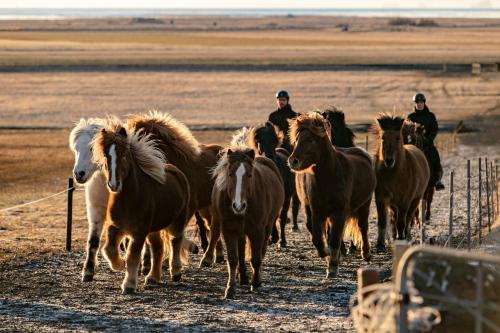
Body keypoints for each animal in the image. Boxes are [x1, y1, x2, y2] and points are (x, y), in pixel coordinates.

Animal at [92, 124, 191, 294]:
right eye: (106, 155)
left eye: (123, 154)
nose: (114, 184)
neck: (128, 201)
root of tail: (177, 172)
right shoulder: (115, 227)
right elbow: (109, 249)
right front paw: (119, 264)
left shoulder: (139, 232)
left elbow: (133, 255)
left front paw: (129, 285)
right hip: (154, 229)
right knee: (158, 248)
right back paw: (152, 278)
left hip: (176, 221)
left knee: (175, 241)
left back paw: (176, 272)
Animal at [126, 111, 224, 264]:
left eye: (140, 136)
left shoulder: (187, 207)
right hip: (205, 206)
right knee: (211, 226)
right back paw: (217, 255)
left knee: (214, 229)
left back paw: (207, 259)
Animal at [210, 137, 284, 298]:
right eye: (230, 174)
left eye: (249, 175)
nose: (238, 206)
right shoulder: (229, 230)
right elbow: (233, 259)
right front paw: (230, 288)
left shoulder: (257, 230)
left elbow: (256, 258)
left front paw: (255, 284)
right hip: (241, 231)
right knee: (242, 251)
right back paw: (242, 277)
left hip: (268, 226)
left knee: (261, 252)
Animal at [286, 111, 376, 278]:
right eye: (296, 140)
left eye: (310, 140)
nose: (293, 161)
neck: (331, 175)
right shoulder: (317, 211)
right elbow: (318, 237)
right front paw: (326, 254)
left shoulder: (340, 212)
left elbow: (334, 239)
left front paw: (333, 268)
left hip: (364, 205)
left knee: (363, 227)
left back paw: (366, 254)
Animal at [376, 114, 430, 249]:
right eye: (383, 138)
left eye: (397, 138)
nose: (389, 161)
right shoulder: (381, 199)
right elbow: (383, 221)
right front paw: (380, 244)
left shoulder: (404, 201)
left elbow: (402, 221)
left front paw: (402, 238)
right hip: (394, 204)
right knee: (395, 218)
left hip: (415, 199)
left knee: (408, 218)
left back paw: (407, 236)